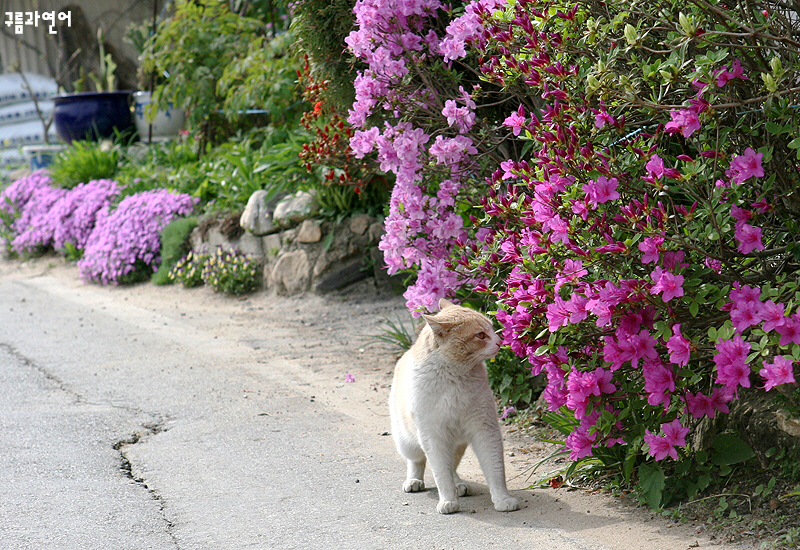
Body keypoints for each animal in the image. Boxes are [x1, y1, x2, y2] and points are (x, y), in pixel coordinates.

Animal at [388, 300, 520, 516]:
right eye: (480, 335)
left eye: (492, 329)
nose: (500, 341)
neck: (455, 376)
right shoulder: (433, 436)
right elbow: (440, 473)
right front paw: (448, 500)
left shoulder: (485, 429)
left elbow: (495, 468)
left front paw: (502, 499)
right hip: (408, 442)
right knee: (418, 461)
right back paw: (414, 481)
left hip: (457, 445)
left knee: (452, 467)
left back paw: (458, 484)